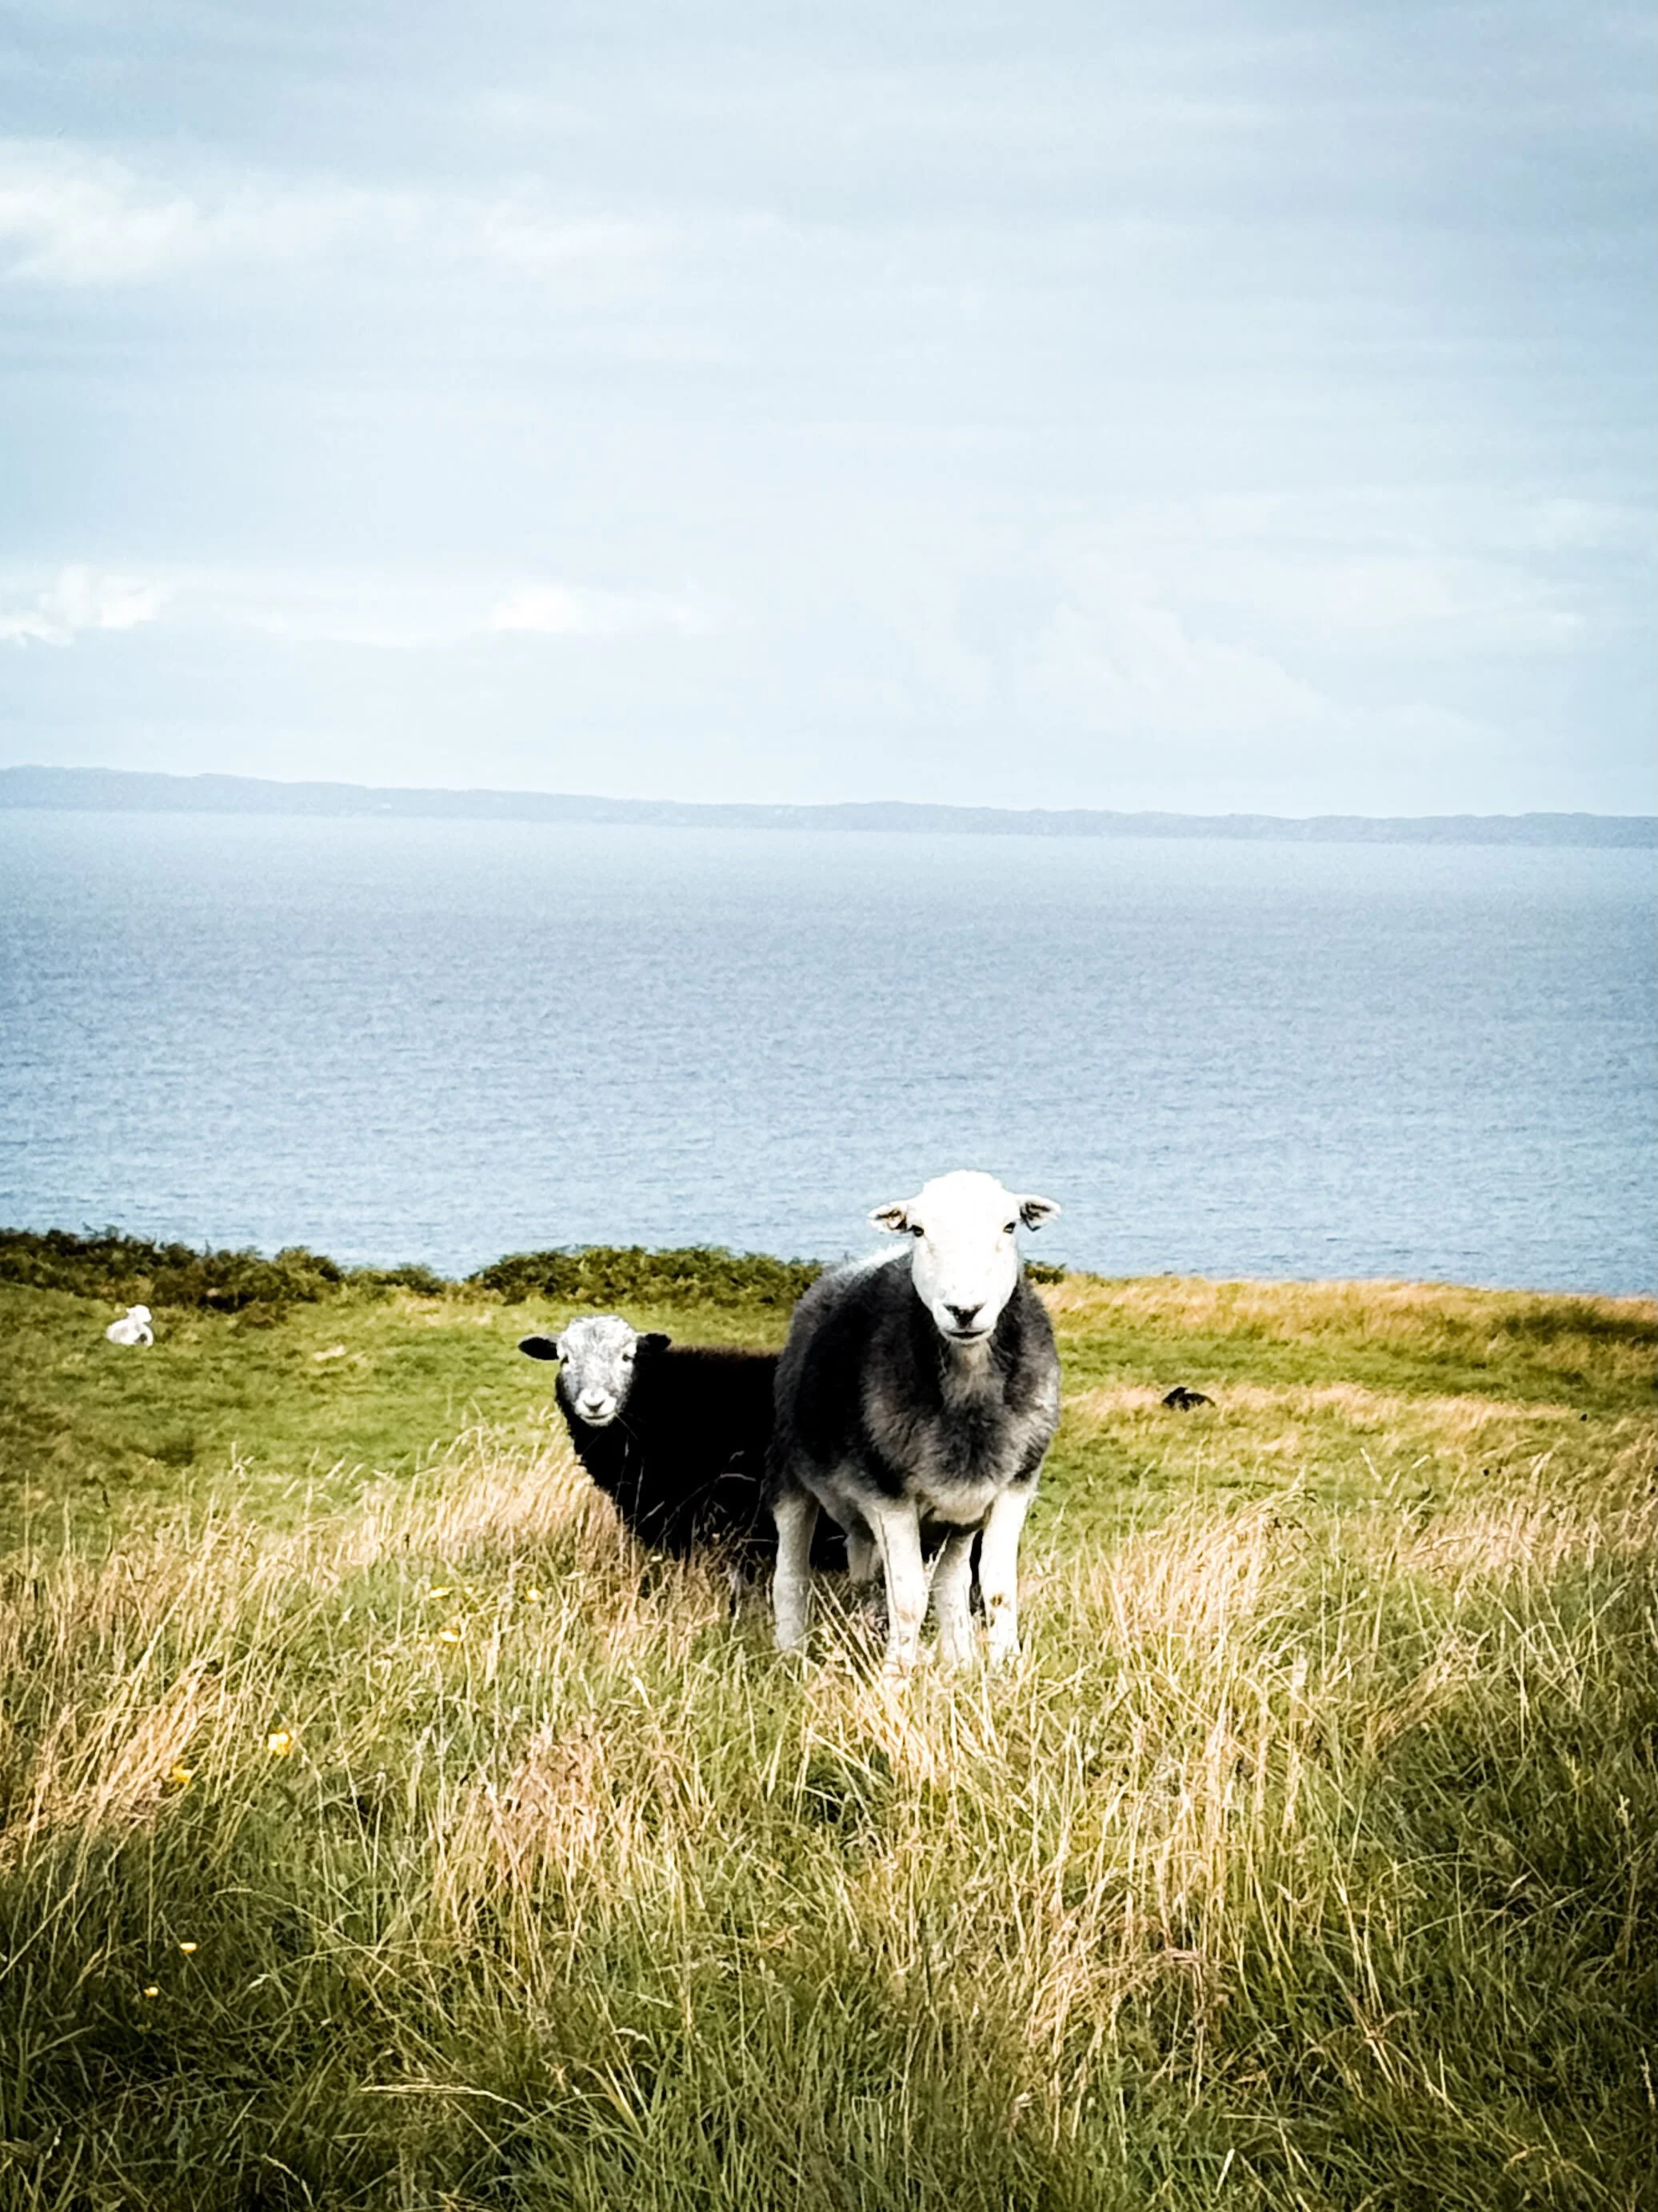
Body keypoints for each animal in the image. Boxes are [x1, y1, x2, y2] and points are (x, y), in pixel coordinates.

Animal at [768, 1169, 1062, 1672]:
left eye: (1009, 1227)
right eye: (918, 1231)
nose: (964, 1311)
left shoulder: (1014, 1485)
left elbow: (997, 1591)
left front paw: (1006, 1670)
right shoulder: (888, 1496)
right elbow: (906, 1600)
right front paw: (895, 1678)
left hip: (958, 1518)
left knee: (950, 1583)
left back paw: (959, 1660)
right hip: (793, 1475)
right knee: (790, 1574)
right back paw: (790, 1654)